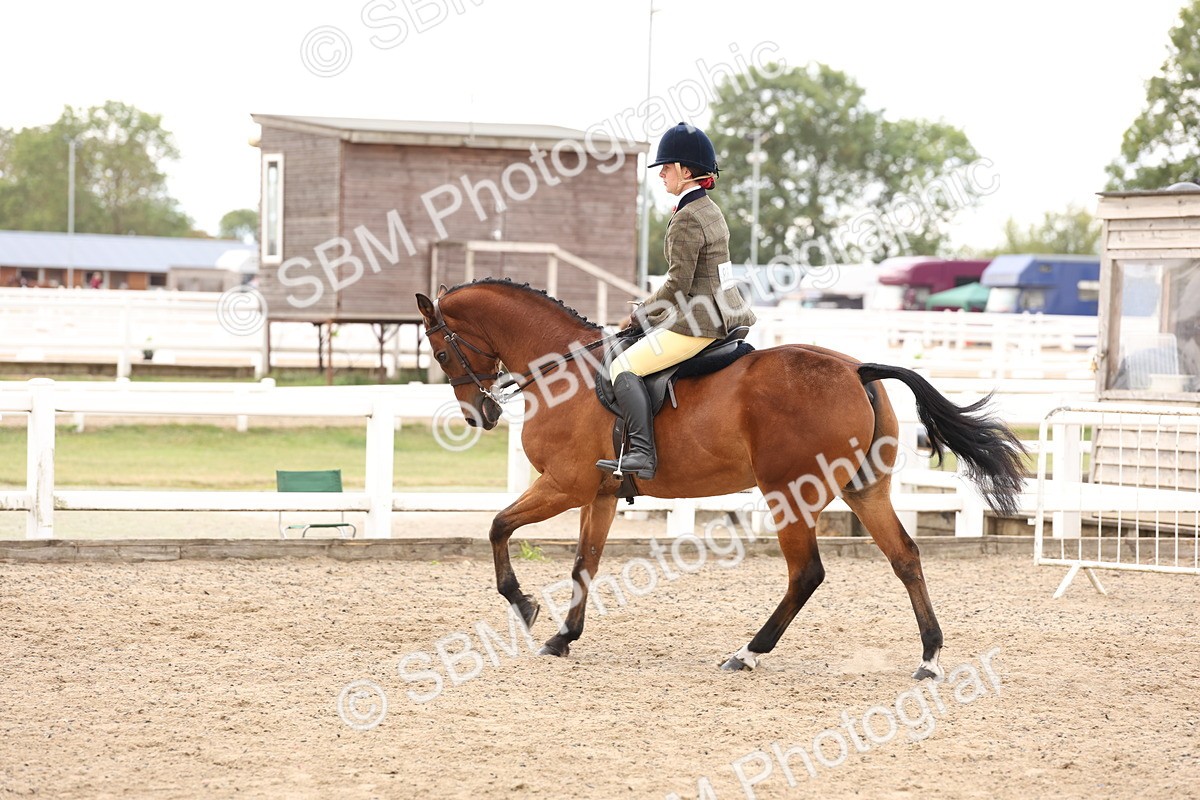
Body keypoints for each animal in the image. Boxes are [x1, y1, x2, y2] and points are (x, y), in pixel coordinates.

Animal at [416, 279, 1026, 679]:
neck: (564, 371)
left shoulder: (564, 485)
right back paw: (929, 658)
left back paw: (747, 652)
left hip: (790, 493)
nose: (480, 415)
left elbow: (498, 526)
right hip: (864, 489)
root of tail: (858, 368)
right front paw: (563, 637)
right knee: (905, 557)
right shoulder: (600, 494)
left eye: (441, 350)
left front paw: (522, 605)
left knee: (806, 573)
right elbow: (583, 564)